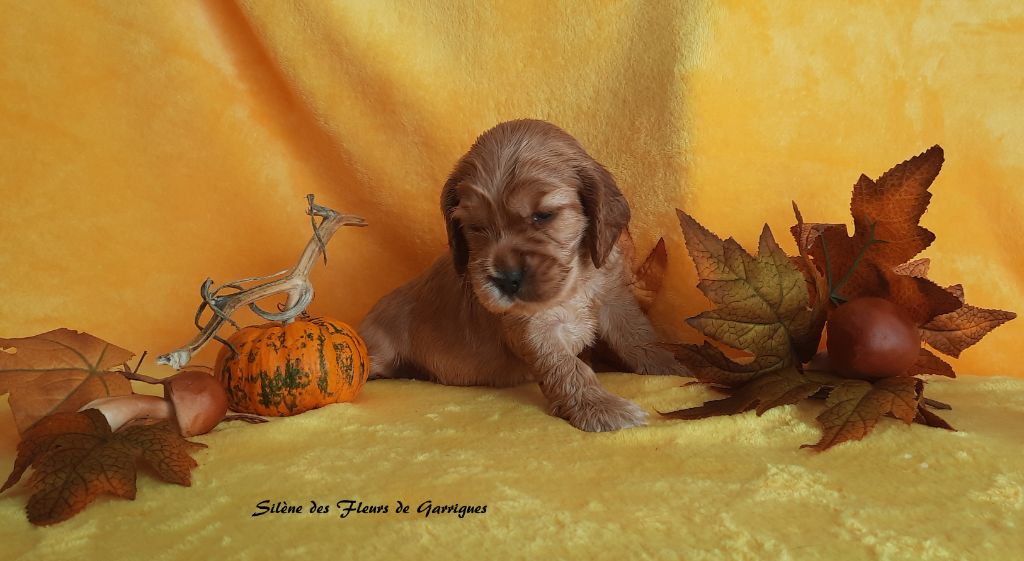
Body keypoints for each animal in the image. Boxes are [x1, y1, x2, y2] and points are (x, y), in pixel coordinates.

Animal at [356, 120, 684, 432]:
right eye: (475, 227)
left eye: (543, 216)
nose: (506, 279)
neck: (574, 282)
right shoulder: (531, 327)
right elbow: (568, 367)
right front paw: (600, 407)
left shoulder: (614, 298)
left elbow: (638, 336)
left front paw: (675, 364)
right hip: (379, 348)